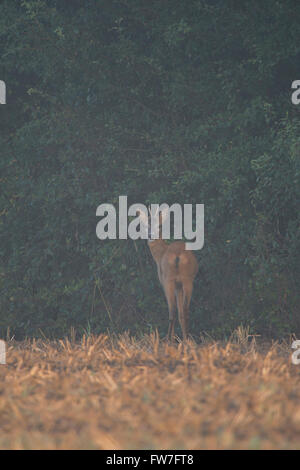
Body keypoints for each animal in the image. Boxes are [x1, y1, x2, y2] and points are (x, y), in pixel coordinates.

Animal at [139, 207, 199, 342]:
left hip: (168, 281)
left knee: (172, 311)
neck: (160, 254)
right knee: (185, 310)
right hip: (187, 280)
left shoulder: (167, 282)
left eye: (159, 225)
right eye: (145, 225)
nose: (151, 236)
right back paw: (187, 339)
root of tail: (177, 255)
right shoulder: (179, 285)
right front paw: (184, 339)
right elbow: (181, 312)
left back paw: (168, 340)